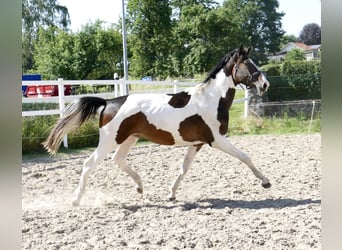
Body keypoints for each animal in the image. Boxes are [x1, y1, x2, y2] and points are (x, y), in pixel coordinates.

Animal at [44, 44, 272, 205]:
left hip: (130, 138)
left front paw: (171, 194)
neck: (211, 99)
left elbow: (183, 169)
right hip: (110, 140)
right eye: (248, 64)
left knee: (118, 160)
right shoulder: (216, 139)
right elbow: (245, 156)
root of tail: (109, 102)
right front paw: (266, 182)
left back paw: (140, 187)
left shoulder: (197, 143)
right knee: (89, 164)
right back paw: (76, 200)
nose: (265, 84)